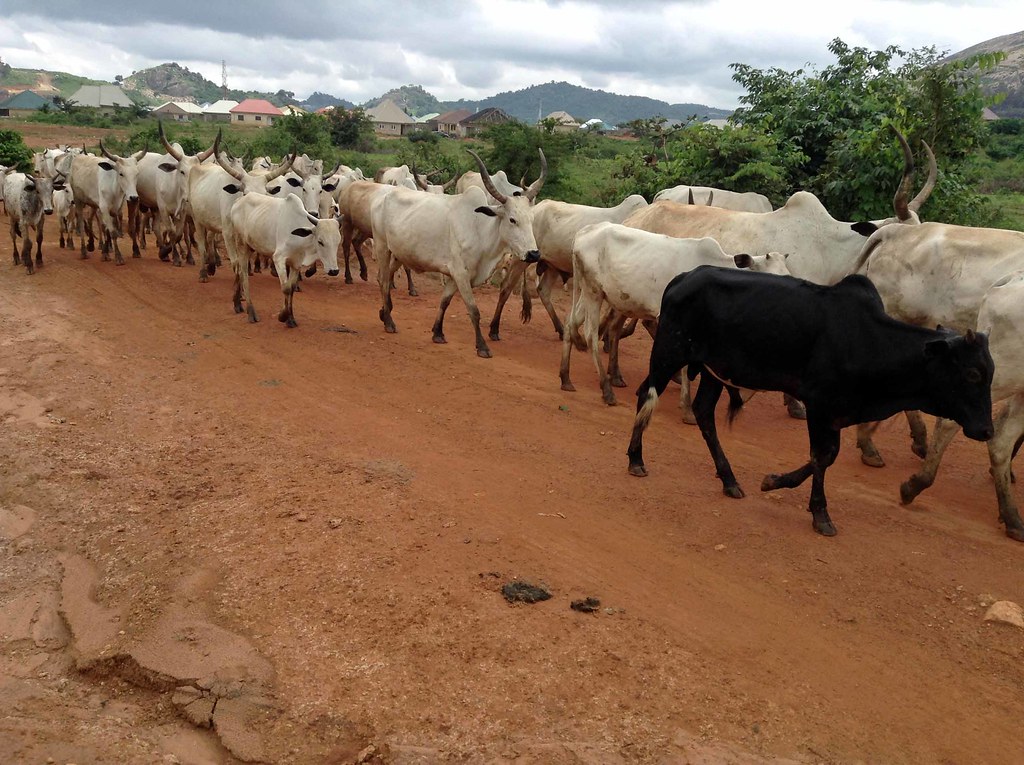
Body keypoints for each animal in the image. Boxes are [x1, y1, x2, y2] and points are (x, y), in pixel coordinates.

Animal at [228, 193, 342, 326]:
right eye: (320, 241)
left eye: (338, 242)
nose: (334, 271)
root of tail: (239, 200)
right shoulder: (278, 259)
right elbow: (286, 288)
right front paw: (282, 316)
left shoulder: (296, 263)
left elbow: (291, 288)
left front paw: (291, 319)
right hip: (241, 245)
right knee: (244, 275)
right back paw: (251, 311)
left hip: (251, 246)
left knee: (239, 271)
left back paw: (237, 303)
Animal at [371, 149, 547, 358]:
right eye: (512, 219)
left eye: (532, 218)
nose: (534, 254)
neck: (480, 230)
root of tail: (383, 195)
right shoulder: (461, 274)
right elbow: (474, 311)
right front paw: (482, 346)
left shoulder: (455, 276)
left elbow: (444, 301)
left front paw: (438, 333)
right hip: (382, 246)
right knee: (383, 280)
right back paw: (389, 321)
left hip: (399, 252)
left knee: (387, 276)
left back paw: (384, 312)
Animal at [487, 194, 650, 341]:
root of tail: (536, 208)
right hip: (522, 257)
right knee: (506, 286)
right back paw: (494, 329)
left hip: (551, 266)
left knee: (543, 291)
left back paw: (560, 329)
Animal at [560, 222, 791, 404]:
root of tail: (585, 232)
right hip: (593, 292)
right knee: (590, 334)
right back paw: (606, 389)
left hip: (594, 293)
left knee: (572, 324)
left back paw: (566, 378)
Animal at [625, 267, 995, 538]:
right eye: (973, 373)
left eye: (990, 372)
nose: (986, 430)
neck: (868, 340)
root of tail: (683, 277)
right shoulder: (819, 405)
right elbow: (822, 456)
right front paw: (820, 513)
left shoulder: (835, 412)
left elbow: (826, 456)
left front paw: (774, 481)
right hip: (669, 353)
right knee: (645, 394)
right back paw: (636, 459)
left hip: (713, 372)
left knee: (703, 413)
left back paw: (729, 480)